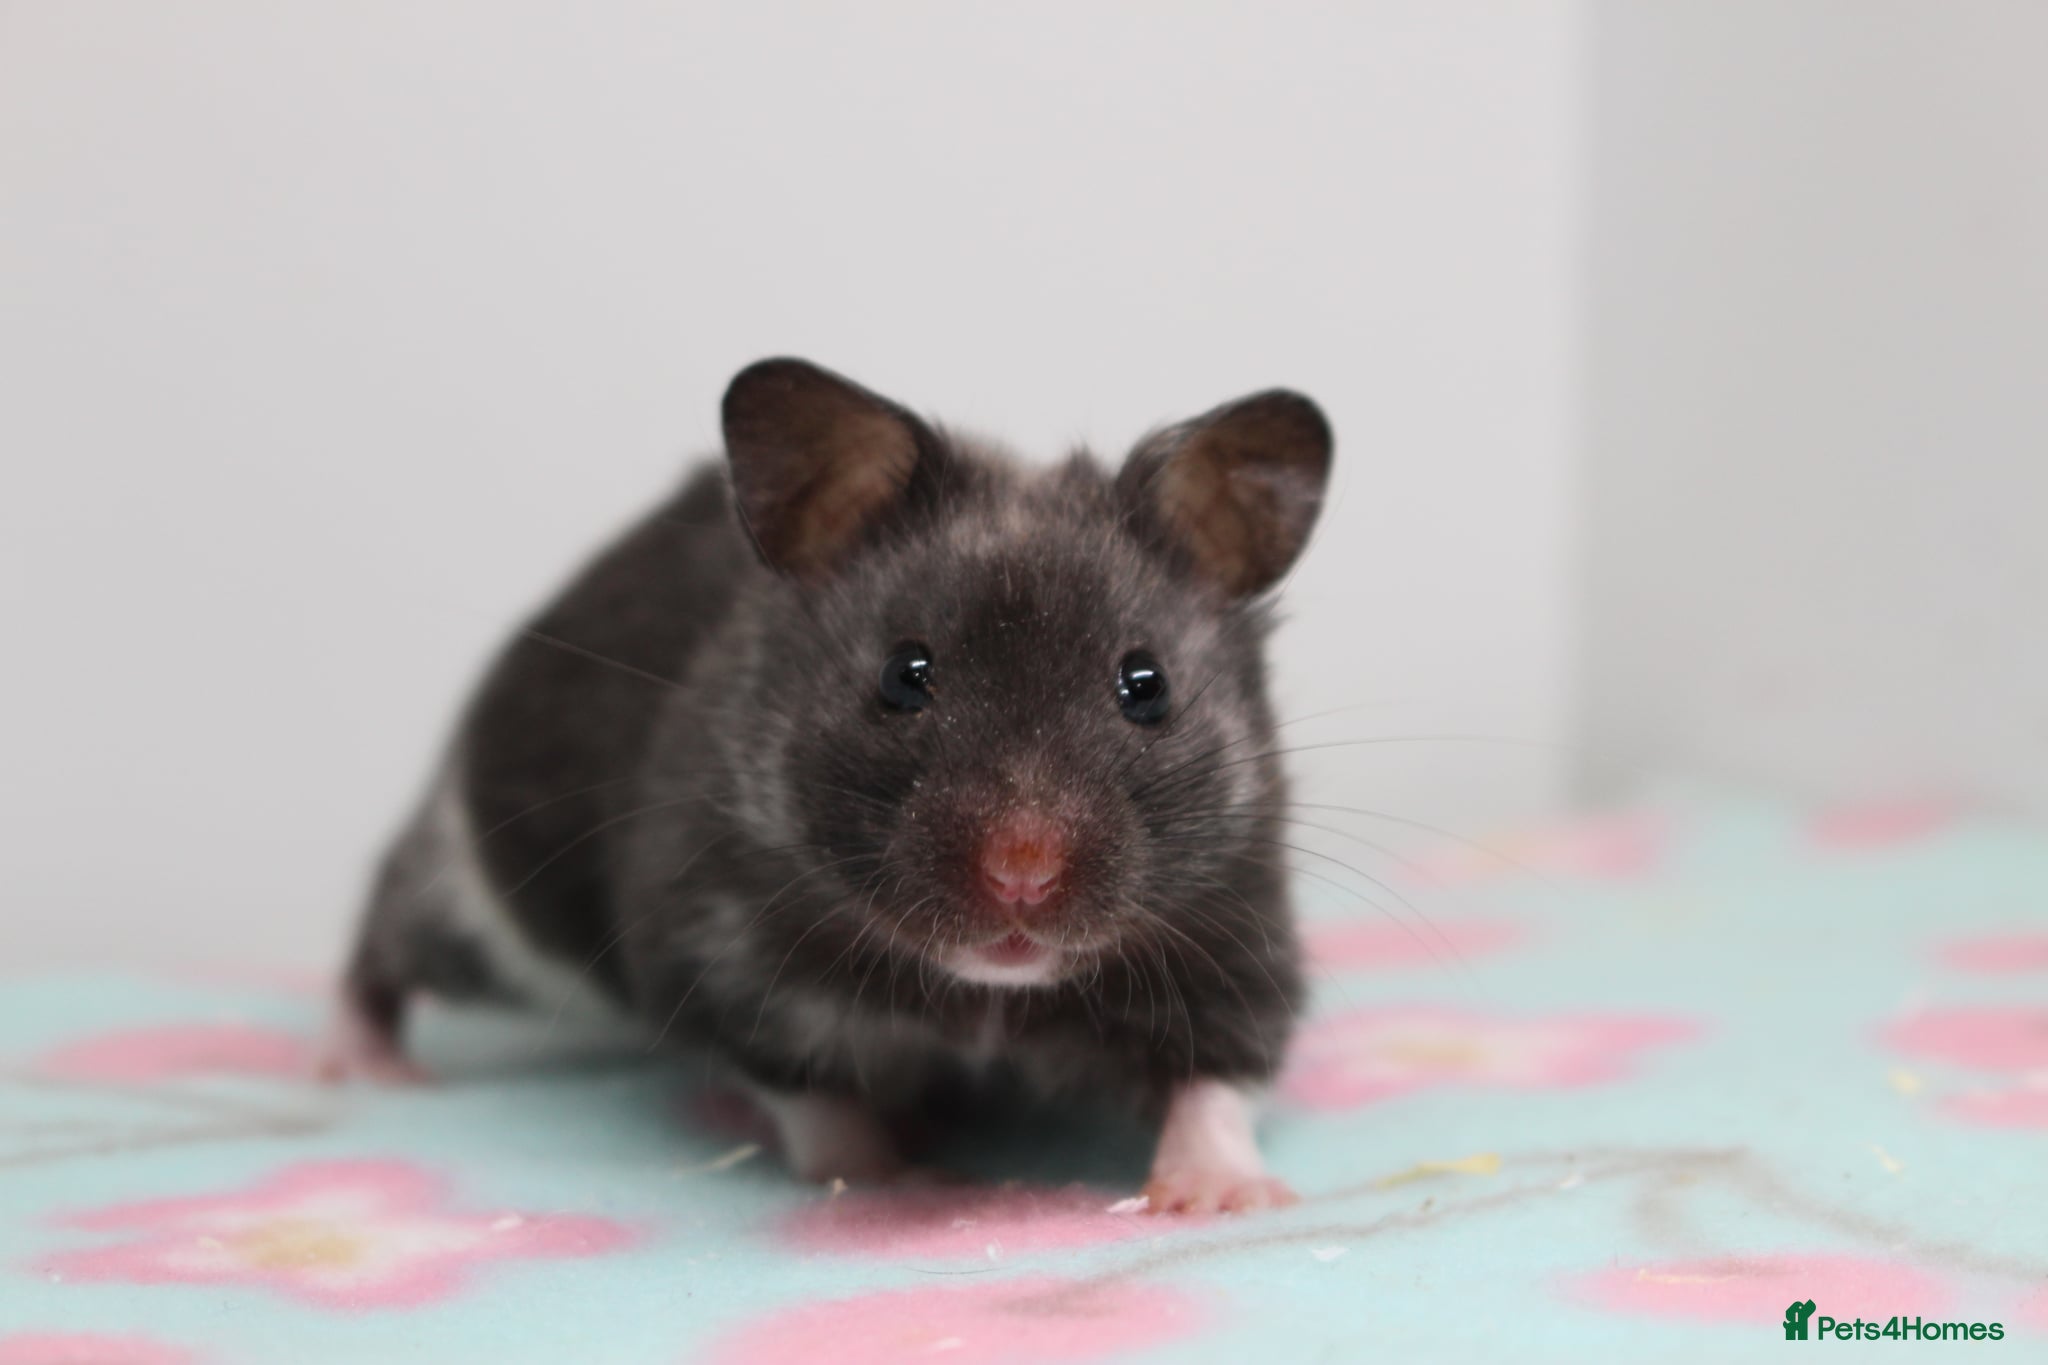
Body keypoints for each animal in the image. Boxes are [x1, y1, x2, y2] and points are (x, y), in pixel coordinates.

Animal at [331, 358, 1332, 1214]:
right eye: (904, 673)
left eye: (1146, 684)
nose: (1022, 877)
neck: (988, 994)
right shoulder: (721, 953)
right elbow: (812, 1094)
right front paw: (902, 1179)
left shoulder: (1237, 933)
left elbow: (1222, 1080)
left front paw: (1220, 1197)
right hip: (480, 902)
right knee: (383, 939)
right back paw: (367, 1067)